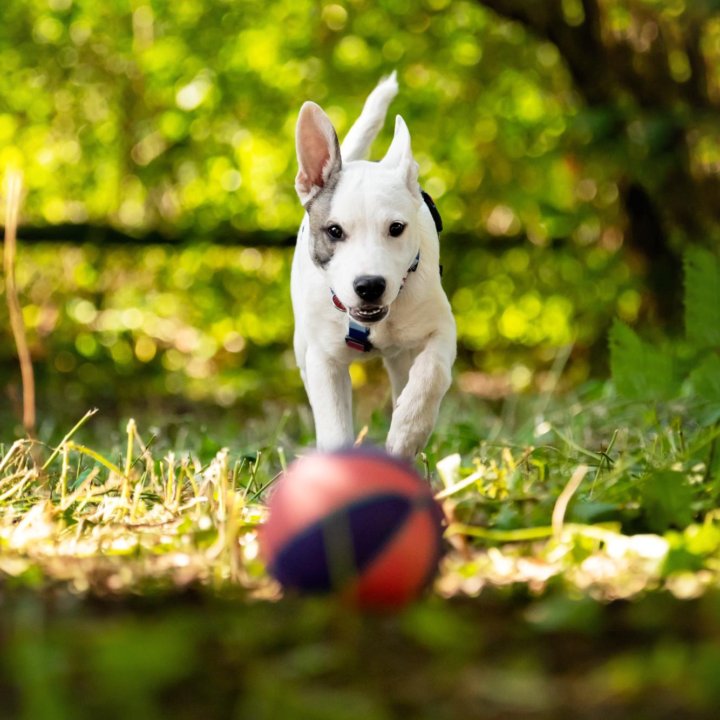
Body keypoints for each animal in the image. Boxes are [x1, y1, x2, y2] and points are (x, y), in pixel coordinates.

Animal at [288, 71, 452, 456]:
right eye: (334, 231)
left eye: (396, 228)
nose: (370, 286)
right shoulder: (324, 360)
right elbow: (333, 425)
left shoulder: (441, 326)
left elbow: (432, 373)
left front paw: (408, 433)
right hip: (303, 346)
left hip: (401, 355)